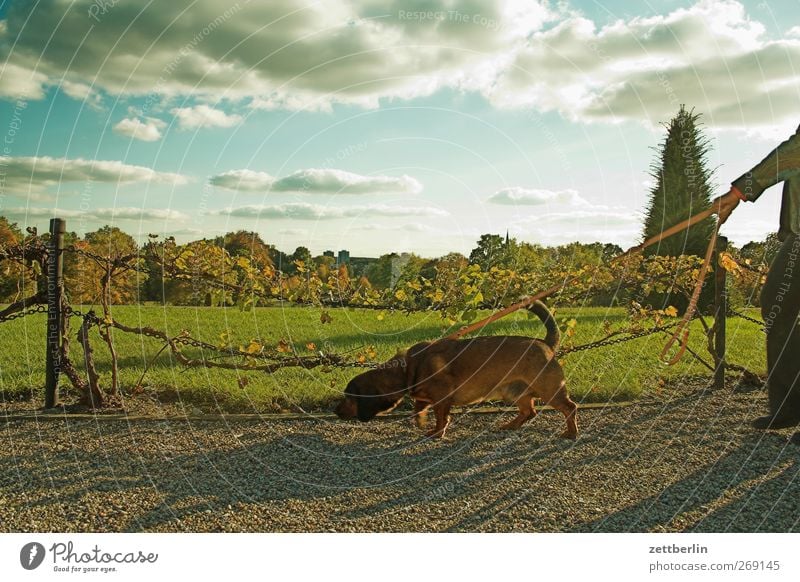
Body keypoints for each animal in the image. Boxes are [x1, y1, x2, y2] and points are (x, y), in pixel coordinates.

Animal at [332, 304, 576, 440]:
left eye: (349, 397)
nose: (335, 411)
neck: (407, 368)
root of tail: (546, 344)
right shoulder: (427, 399)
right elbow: (421, 409)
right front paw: (421, 421)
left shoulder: (443, 399)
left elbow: (442, 419)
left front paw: (437, 433)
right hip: (515, 392)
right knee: (529, 412)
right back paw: (510, 425)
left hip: (550, 392)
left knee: (570, 408)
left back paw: (571, 433)